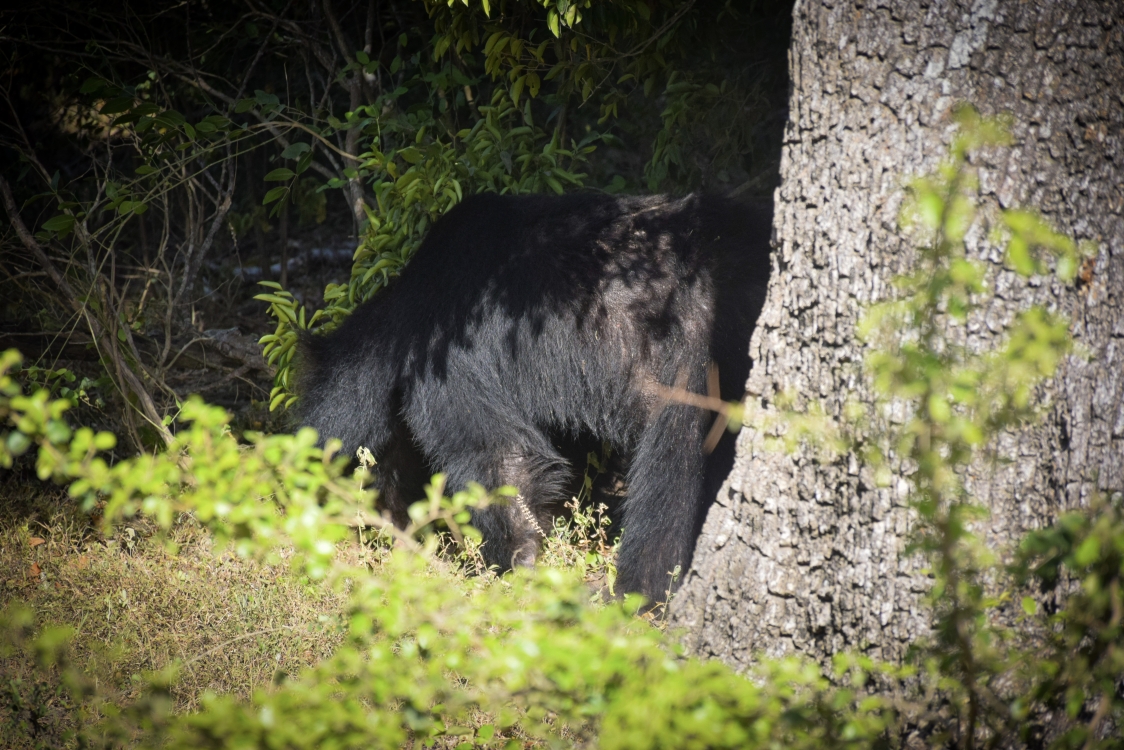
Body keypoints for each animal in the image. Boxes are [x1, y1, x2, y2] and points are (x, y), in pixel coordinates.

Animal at [298, 193, 773, 602]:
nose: (385, 530)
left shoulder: (454, 360)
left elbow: (497, 456)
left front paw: (515, 564)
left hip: (692, 356)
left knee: (674, 472)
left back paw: (634, 592)